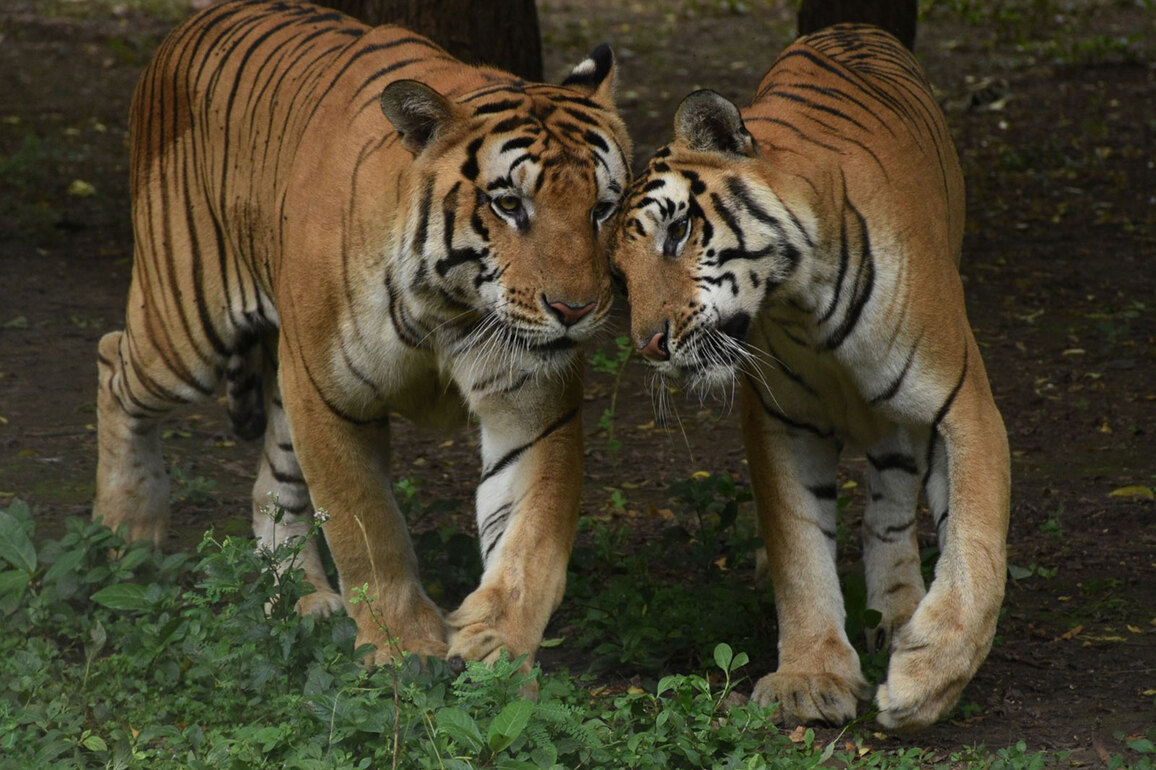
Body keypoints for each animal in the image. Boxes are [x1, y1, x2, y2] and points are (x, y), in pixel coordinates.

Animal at [93, 0, 631, 670]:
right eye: (509, 205)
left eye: (602, 208)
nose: (573, 309)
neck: (450, 307)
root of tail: (194, 22)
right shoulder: (328, 394)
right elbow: (366, 525)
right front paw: (404, 650)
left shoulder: (533, 408)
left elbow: (532, 538)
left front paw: (495, 646)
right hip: (187, 326)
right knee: (113, 363)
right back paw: (126, 537)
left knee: (272, 484)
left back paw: (301, 601)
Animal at [608, 24, 1009, 731]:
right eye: (619, 276)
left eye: (677, 231)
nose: (650, 345)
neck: (801, 302)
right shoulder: (780, 421)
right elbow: (800, 548)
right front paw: (810, 677)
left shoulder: (962, 405)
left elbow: (976, 547)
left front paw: (926, 681)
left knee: (890, 507)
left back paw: (898, 613)